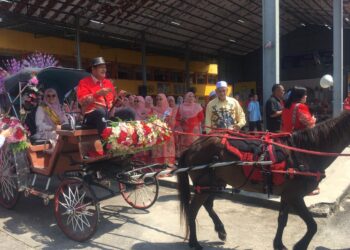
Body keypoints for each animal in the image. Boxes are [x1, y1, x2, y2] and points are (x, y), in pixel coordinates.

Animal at [176, 112, 350, 250]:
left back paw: (220, 230)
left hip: (215, 183)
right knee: (193, 210)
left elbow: (282, 220)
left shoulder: (287, 195)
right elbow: (312, 225)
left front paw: (278, 244)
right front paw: (300, 245)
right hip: (205, 184)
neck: (303, 153)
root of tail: (192, 146)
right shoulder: (295, 196)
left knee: (208, 204)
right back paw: (194, 242)